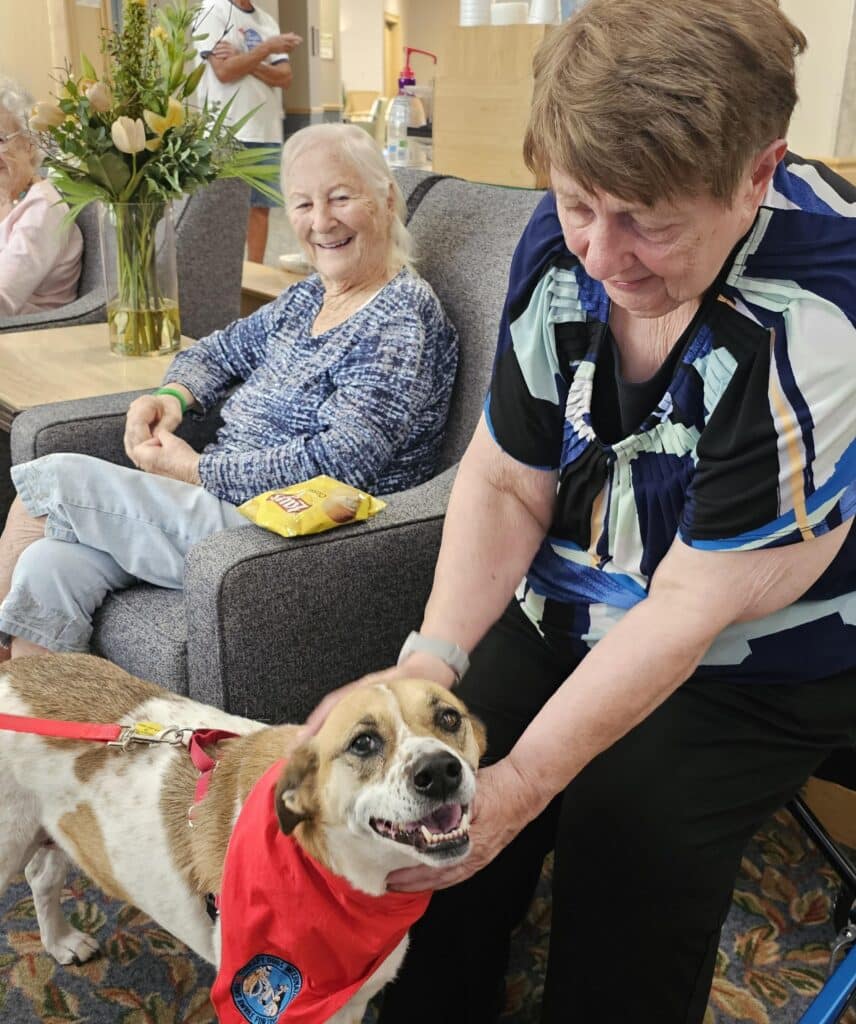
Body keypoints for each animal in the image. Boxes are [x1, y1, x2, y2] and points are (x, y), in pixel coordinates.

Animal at [0, 655, 485, 1024]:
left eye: (449, 717)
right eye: (363, 742)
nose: (439, 771)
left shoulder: (354, 1004)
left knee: (41, 877)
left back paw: (60, 941)